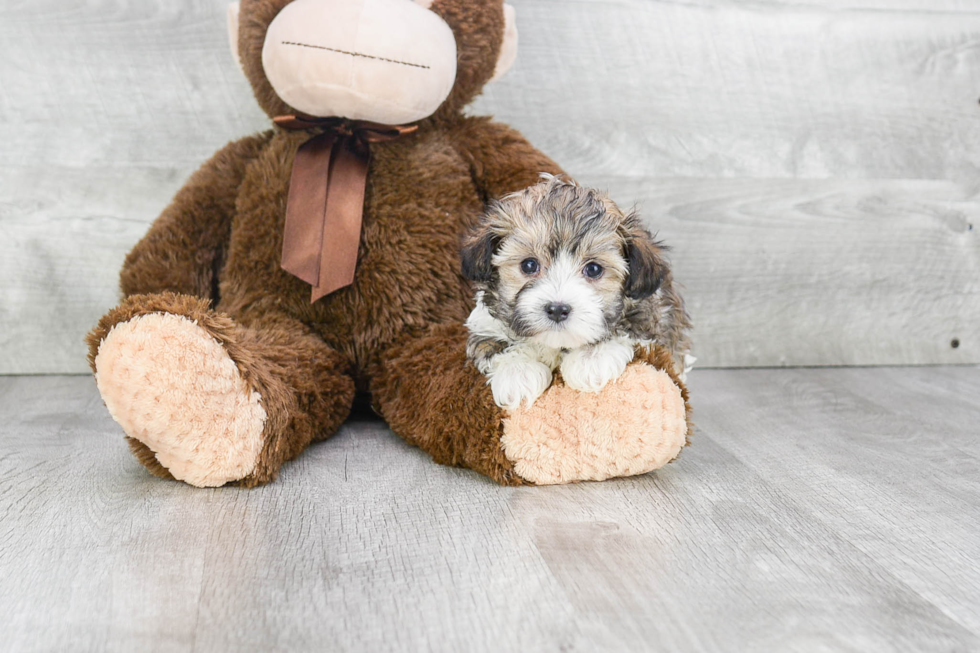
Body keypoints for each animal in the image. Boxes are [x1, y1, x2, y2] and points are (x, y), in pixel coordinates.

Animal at [464, 174, 692, 408]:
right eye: (529, 265)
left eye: (593, 269)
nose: (557, 309)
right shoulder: (485, 324)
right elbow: (493, 345)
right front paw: (517, 374)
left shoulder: (653, 319)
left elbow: (627, 330)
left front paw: (591, 360)